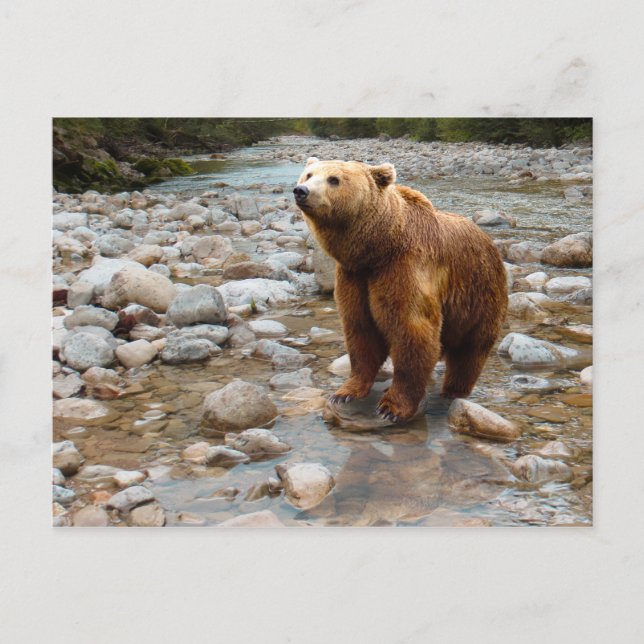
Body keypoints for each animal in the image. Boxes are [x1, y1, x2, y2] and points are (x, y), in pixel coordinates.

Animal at [294, 157, 508, 423]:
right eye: (308, 174)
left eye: (334, 179)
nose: (301, 190)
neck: (377, 249)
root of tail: (490, 241)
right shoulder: (355, 277)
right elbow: (360, 331)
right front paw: (345, 392)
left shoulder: (404, 268)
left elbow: (411, 331)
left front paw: (391, 407)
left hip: (479, 295)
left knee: (469, 351)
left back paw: (453, 389)